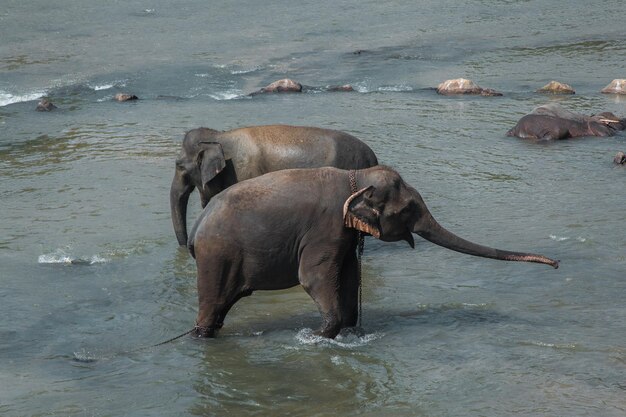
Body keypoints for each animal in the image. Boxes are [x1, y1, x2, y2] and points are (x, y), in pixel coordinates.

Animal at [188, 164, 560, 336]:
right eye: (408, 209)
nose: (556, 265)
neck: (353, 176)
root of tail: (197, 225)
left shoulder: (343, 233)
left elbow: (349, 275)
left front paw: (346, 330)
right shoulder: (326, 228)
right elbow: (313, 278)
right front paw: (319, 336)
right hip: (216, 255)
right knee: (212, 305)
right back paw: (201, 337)